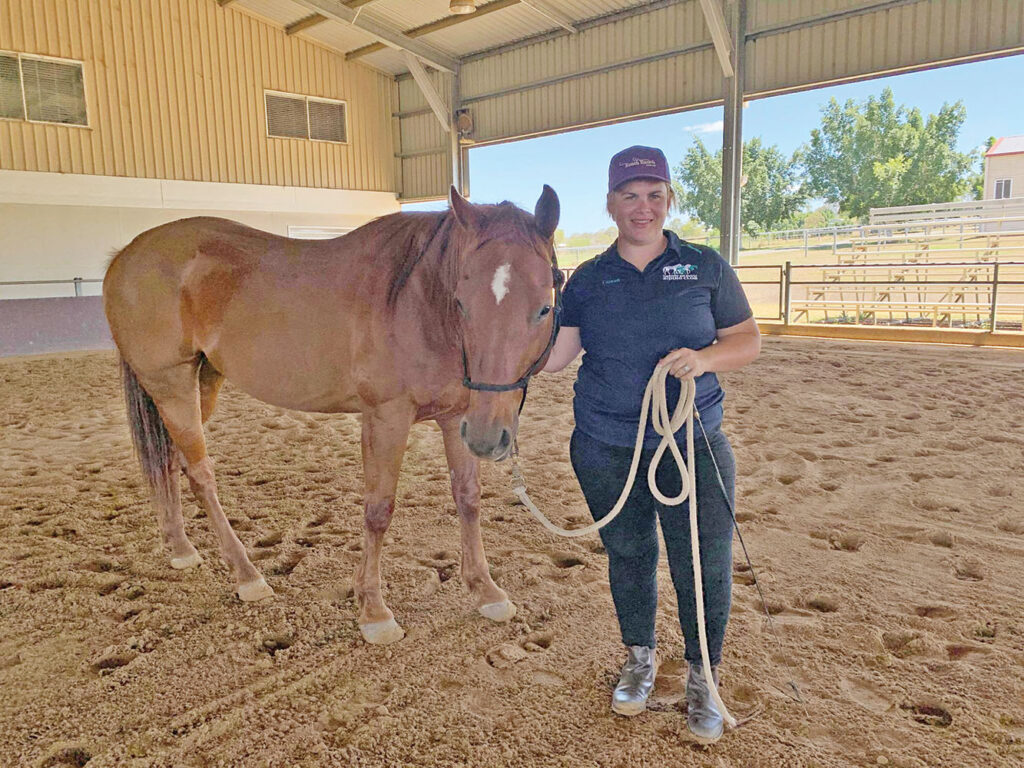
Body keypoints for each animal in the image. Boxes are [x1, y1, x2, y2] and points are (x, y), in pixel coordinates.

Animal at [103, 185, 561, 643]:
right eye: (462, 303)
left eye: (544, 308)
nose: (489, 438)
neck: (416, 299)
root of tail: (126, 256)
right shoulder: (386, 418)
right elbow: (379, 510)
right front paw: (374, 611)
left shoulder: (458, 418)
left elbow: (467, 499)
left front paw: (485, 590)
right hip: (171, 385)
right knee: (200, 475)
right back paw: (247, 575)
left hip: (202, 383)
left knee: (169, 461)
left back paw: (180, 547)